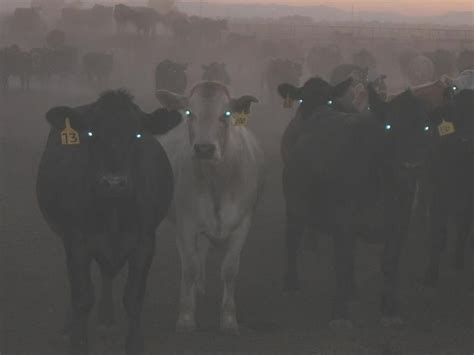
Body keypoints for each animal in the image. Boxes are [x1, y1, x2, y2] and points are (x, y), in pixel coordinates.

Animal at [36, 89, 181, 355]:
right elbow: (82, 296)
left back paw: (106, 318)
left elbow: (133, 298)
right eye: (91, 133)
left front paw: (134, 344)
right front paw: (78, 342)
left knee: (107, 274)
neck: (114, 211)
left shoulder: (145, 242)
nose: (114, 183)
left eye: (137, 134)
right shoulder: (76, 241)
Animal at [156, 82, 264, 336]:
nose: (204, 148)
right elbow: (189, 267)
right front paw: (186, 318)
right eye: (189, 113)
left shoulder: (242, 224)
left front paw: (229, 319)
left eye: (226, 113)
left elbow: (230, 270)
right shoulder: (186, 224)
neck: (217, 181)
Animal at [278, 79, 436, 330]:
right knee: (292, 241)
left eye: (426, 128)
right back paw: (291, 285)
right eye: (389, 126)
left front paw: (389, 310)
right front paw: (340, 314)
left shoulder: (400, 222)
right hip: (294, 207)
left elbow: (389, 263)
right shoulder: (343, 222)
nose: (410, 166)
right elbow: (341, 263)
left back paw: (352, 291)